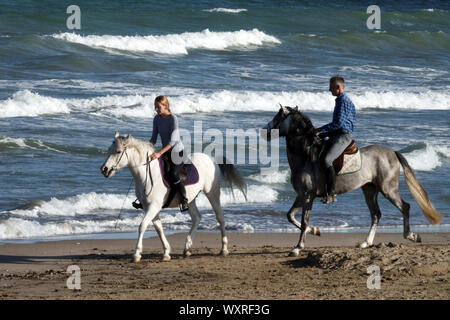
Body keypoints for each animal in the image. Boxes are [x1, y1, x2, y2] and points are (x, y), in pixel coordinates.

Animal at [100, 131, 248, 262]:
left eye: (118, 151)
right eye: (109, 150)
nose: (104, 169)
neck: (147, 174)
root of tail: (211, 159)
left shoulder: (154, 206)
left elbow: (142, 226)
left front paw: (136, 254)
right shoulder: (149, 207)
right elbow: (159, 228)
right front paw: (166, 253)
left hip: (212, 193)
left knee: (220, 217)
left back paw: (224, 249)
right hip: (190, 199)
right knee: (197, 218)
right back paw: (187, 249)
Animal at [264, 106, 442, 256]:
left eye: (278, 117)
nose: (265, 131)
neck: (305, 156)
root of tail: (392, 152)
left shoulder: (308, 195)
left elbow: (303, 220)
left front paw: (297, 247)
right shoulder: (301, 195)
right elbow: (290, 216)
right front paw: (315, 230)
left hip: (388, 189)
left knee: (404, 207)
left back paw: (411, 236)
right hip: (369, 189)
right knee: (376, 214)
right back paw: (366, 243)